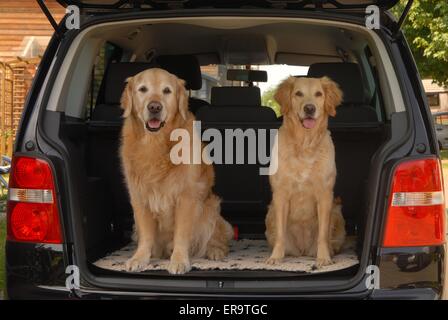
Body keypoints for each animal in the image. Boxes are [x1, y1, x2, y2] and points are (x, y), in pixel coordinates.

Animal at [121, 68, 233, 276]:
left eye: (167, 91)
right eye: (143, 89)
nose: (154, 107)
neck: (155, 144)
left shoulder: (186, 197)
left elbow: (181, 234)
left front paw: (179, 260)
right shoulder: (139, 197)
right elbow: (146, 235)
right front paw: (139, 258)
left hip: (211, 208)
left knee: (216, 238)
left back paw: (215, 252)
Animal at [266, 76, 346, 266]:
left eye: (318, 94)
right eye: (298, 94)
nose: (309, 108)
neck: (304, 144)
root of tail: (302, 250)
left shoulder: (325, 195)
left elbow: (322, 235)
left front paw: (323, 257)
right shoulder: (280, 194)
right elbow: (280, 234)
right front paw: (275, 257)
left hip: (336, 211)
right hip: (270, 212)